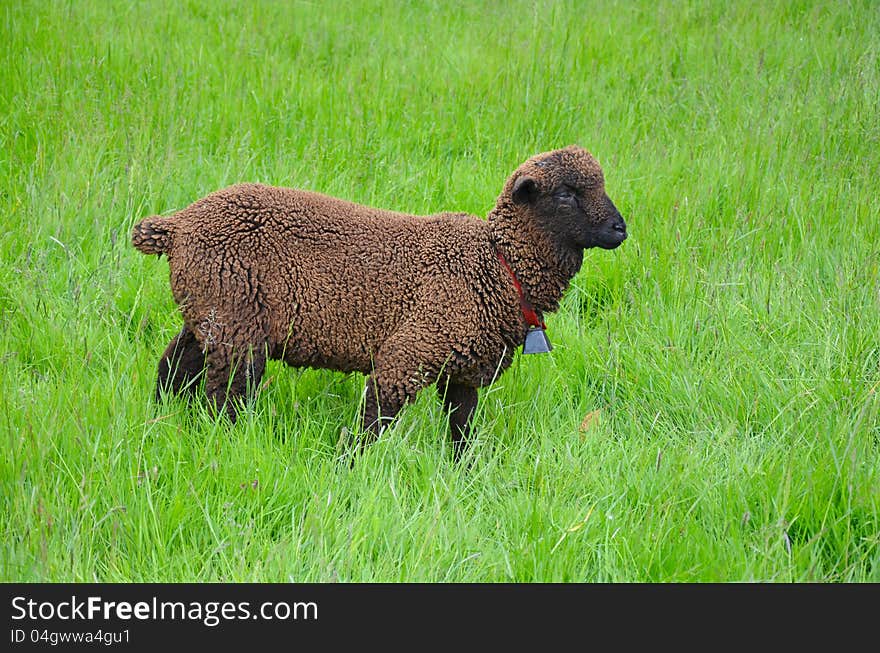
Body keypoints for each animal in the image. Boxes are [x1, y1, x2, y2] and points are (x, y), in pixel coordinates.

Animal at [129, 145, 624, 456]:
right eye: (565, 194)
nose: (621, 229)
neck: (499, 264)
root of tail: (178, 225)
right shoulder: (411, 351)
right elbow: (374, 422)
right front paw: (347, 466)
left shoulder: (463, 369)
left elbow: (461, 429)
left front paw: (466, 475)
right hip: (235, 324)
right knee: (221, 395)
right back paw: (222, 442)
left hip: (212, 311)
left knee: (174, 367)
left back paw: (159, 420)